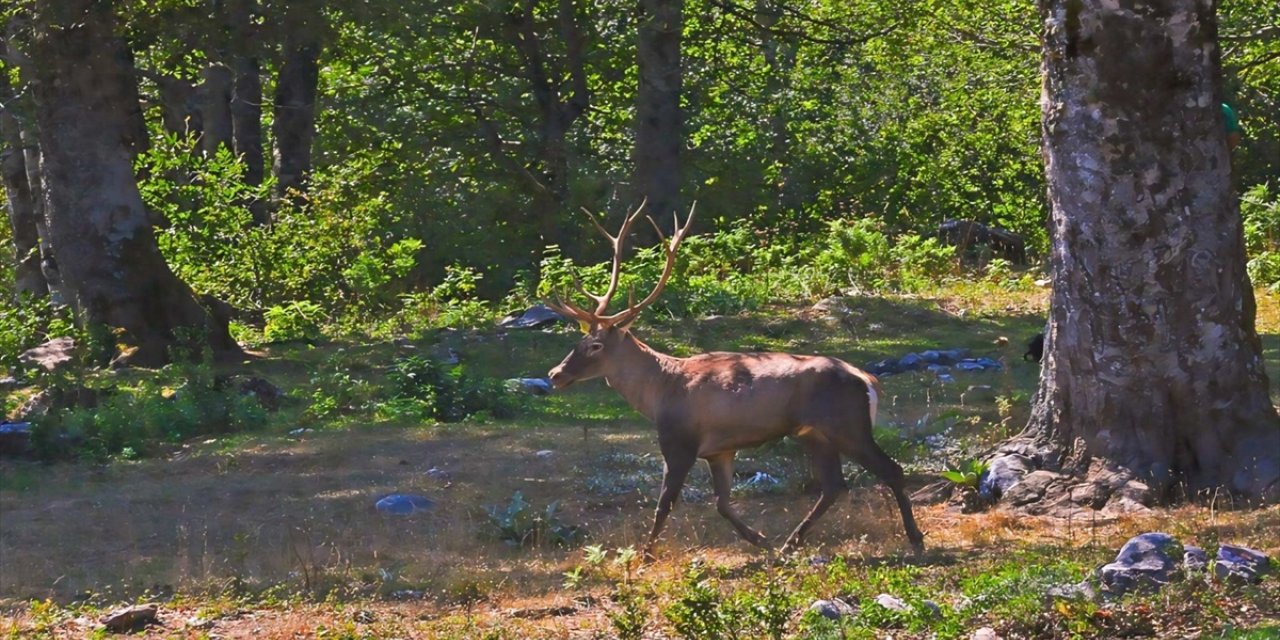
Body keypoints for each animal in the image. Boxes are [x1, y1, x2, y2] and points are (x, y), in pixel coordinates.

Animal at [545, 202, 926, 558]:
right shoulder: (719, 449)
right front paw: (760, 539)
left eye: (594, 345)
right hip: (814, 432)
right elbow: (722, 503)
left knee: (891, 469)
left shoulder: (679, 441)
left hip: (848, 424)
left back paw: (916, 539)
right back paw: (790, 542)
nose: (555, 374)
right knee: (834, 484)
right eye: (579, 341)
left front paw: (645, 555)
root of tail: (868, 380)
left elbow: (665, 503)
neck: (659, 392)